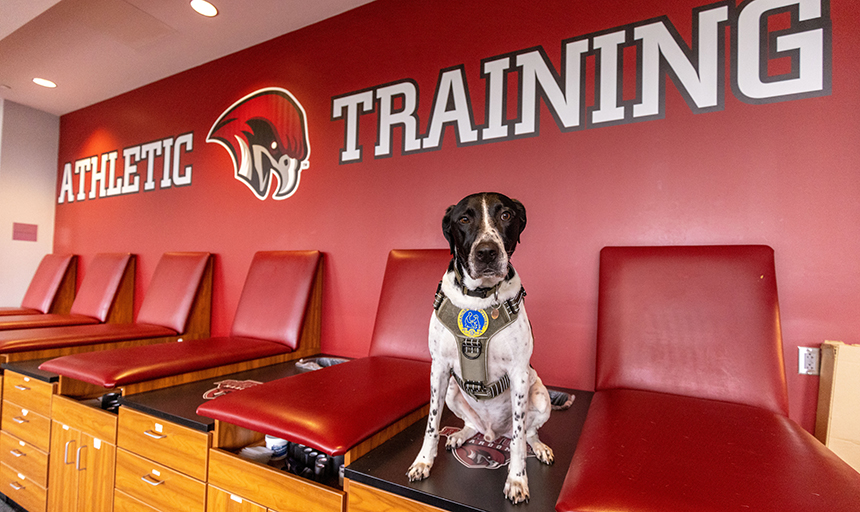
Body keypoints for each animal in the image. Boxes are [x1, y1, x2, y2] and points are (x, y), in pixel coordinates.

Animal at [408, 191, 556, 504]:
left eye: (506, 215)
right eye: (464, 219)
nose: (487, 252)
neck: (479, 297)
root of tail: (491, 434)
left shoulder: (519, 373)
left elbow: (518, 438)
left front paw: (517, 479)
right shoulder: (439, 369)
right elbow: (431, 424)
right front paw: (424, 461)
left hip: (540, 395)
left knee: (527, 433)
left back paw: (538, 447)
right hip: (453, 391)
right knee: (471, 425)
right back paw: (459, 435)